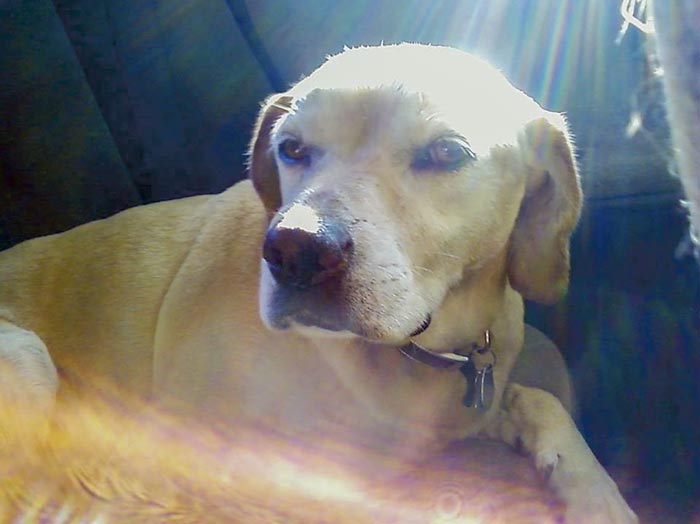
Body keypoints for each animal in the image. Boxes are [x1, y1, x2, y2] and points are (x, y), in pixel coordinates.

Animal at [0, 43, 636, 520]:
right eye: (292, 148)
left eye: (445, 152)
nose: (295, 251)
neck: (410, 357)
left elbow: (538, 398)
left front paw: (595, 492)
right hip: (26, 353)